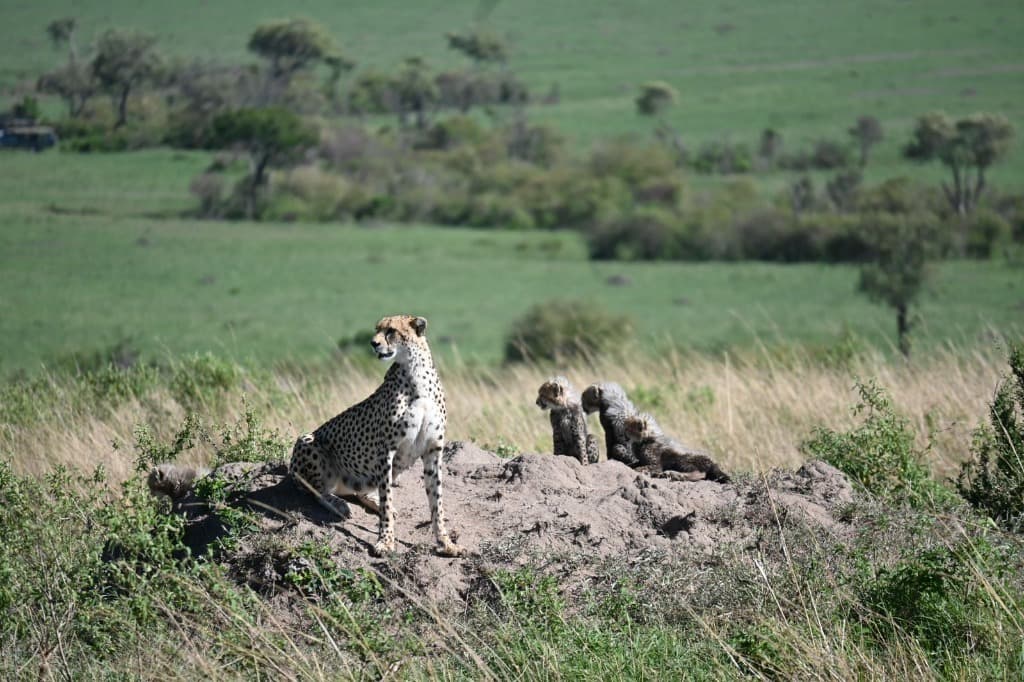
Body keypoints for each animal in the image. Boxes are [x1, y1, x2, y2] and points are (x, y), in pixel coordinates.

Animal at [289, 315, 462, 558]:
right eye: (376, 330)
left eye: (391, 331)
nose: (373, 343)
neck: (416, 372)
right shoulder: (386, 450)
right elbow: (387, 498)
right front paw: (386, 541)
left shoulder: (433, 450)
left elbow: (436, 501)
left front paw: (445, 543)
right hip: (308, 441)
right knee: (317, 490)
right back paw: (339, 505)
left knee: (357, 490)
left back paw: (369, 501)